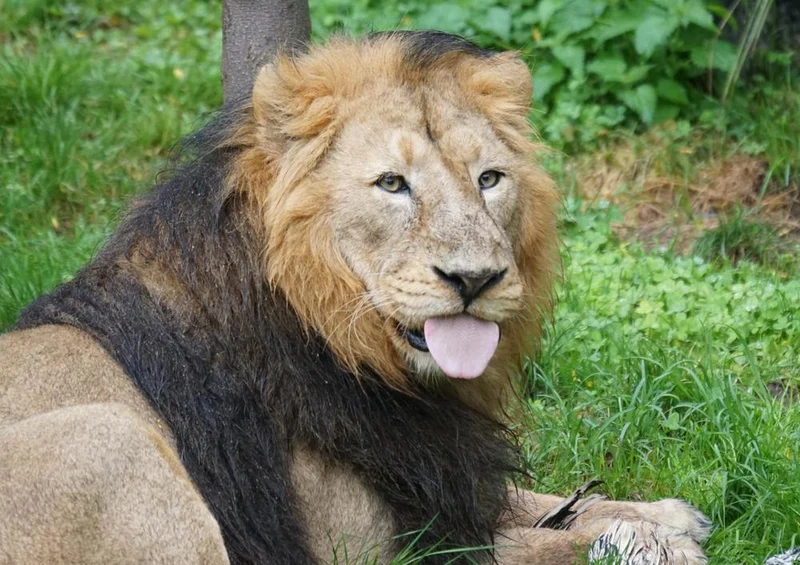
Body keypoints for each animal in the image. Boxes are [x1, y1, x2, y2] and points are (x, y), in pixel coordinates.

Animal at [0, 31, 711, 565]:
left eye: (489, 179)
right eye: (392, 184)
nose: (475, 279)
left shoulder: (436, 479)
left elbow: (537, 503)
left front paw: (660, 513)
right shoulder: (361, 549)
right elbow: (534, 547)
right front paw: (648, 542)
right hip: (107, 436)